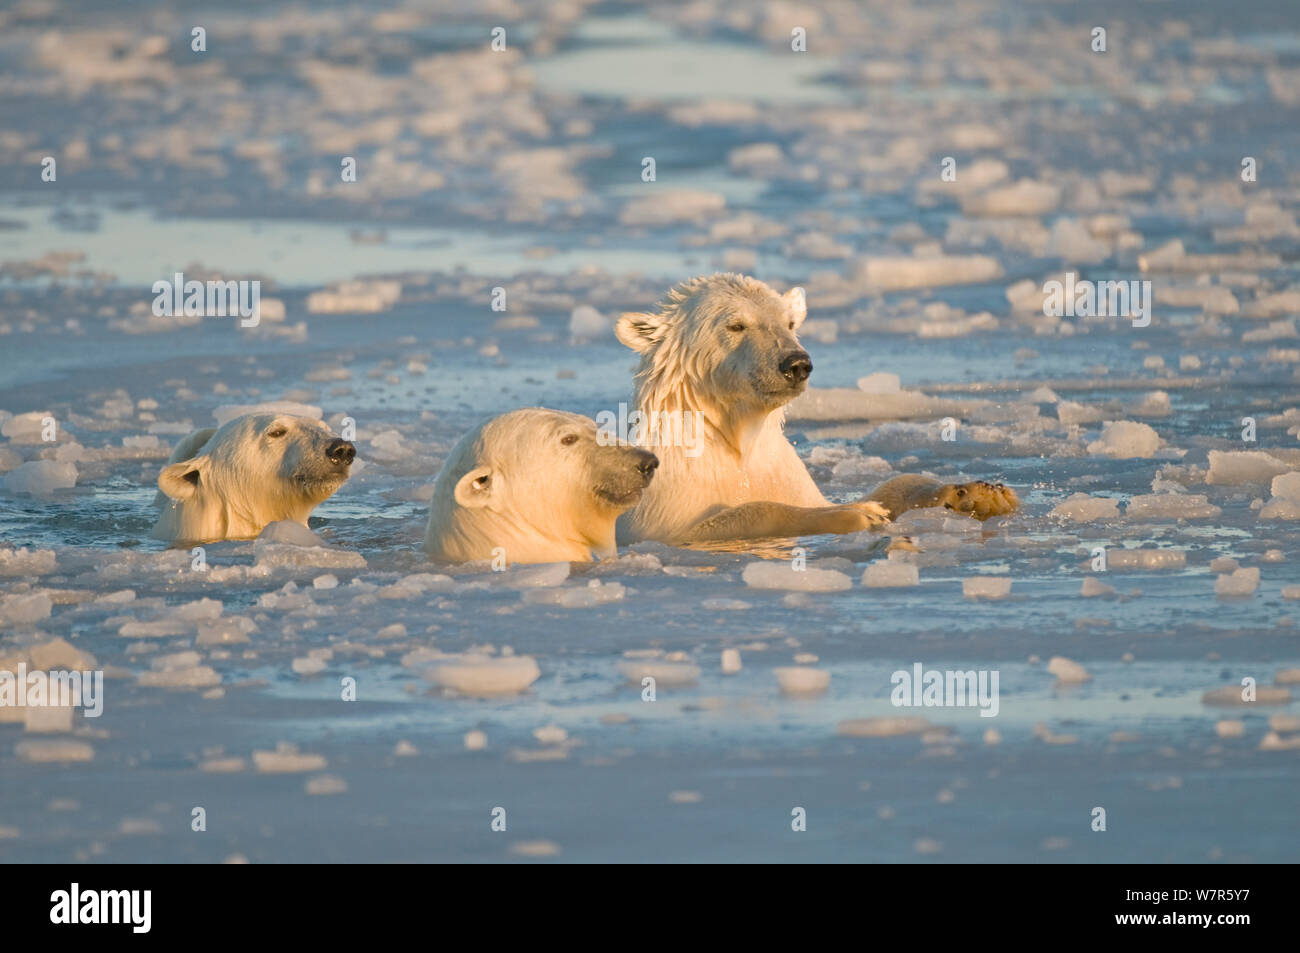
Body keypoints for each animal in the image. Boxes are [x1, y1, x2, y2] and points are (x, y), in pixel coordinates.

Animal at [613, 271, 1019, 546]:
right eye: (736, 325)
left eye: (790, 322)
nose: (796, 364)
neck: (736, 438)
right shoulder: (660, 513)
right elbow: (743, 512)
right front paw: (855, 514)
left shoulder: (783, 473)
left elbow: (892, 486)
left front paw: (980, 494)